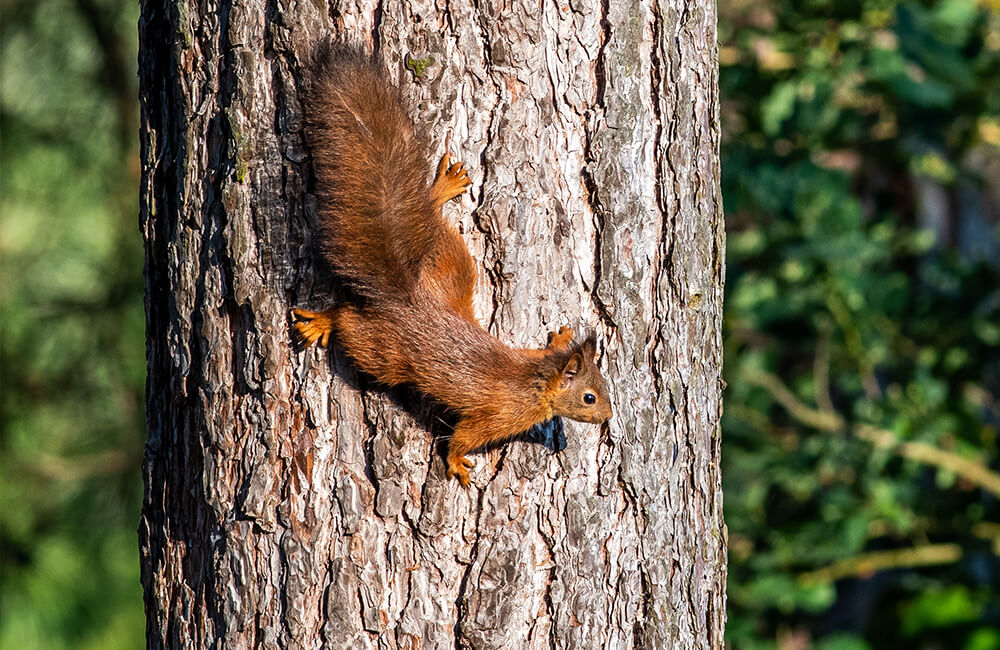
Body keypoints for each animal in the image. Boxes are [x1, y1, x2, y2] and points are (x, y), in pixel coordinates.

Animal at [291, 43, 612, 486]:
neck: (535, 381)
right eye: (589, 397)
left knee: (430, 221)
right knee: (349, 319)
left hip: (449, 267)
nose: (608, 416)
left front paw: (562, 338)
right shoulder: (499, 416)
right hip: (384, 355)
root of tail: (407, 298)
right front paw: (458, 462)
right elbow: (463, 436)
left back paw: (441, 189)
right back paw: (324, 320)